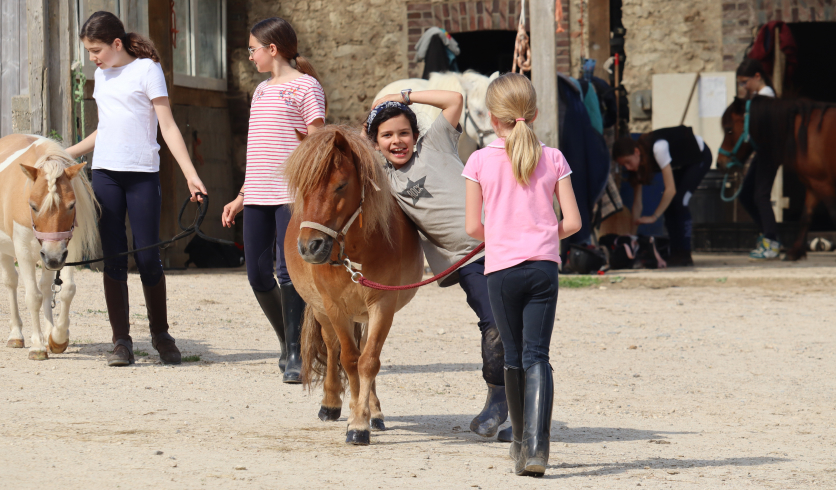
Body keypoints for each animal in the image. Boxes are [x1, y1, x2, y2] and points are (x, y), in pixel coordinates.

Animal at [0, 134, 99, 360]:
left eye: (71, 205)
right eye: (33, 206)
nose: (53, 258)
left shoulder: (69, 250)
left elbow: (66, 290)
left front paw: (57, 338)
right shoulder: (24, 253)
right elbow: (33, 297)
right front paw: (37, 346)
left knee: (46, 288)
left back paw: (47, 333)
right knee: (11, 282)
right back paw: (16, 335)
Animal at [282, 125, 424, 444]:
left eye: (341, 185)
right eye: (302, 188)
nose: (310, 247)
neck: (357, 250)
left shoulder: (382, 305)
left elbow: (368, 360)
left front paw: (362, 419)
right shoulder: (335, 308)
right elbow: (347, 358)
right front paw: (354, 417)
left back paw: (374, 411)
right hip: (322, 311)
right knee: (333, 347)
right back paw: (331, 403)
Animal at [720, 97, 836, 262]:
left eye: (729, 129)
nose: (719, 162)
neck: (809, 133)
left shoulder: (823, 184)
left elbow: (833, 214)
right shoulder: (814, 184)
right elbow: (805, 217)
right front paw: (795, 252)